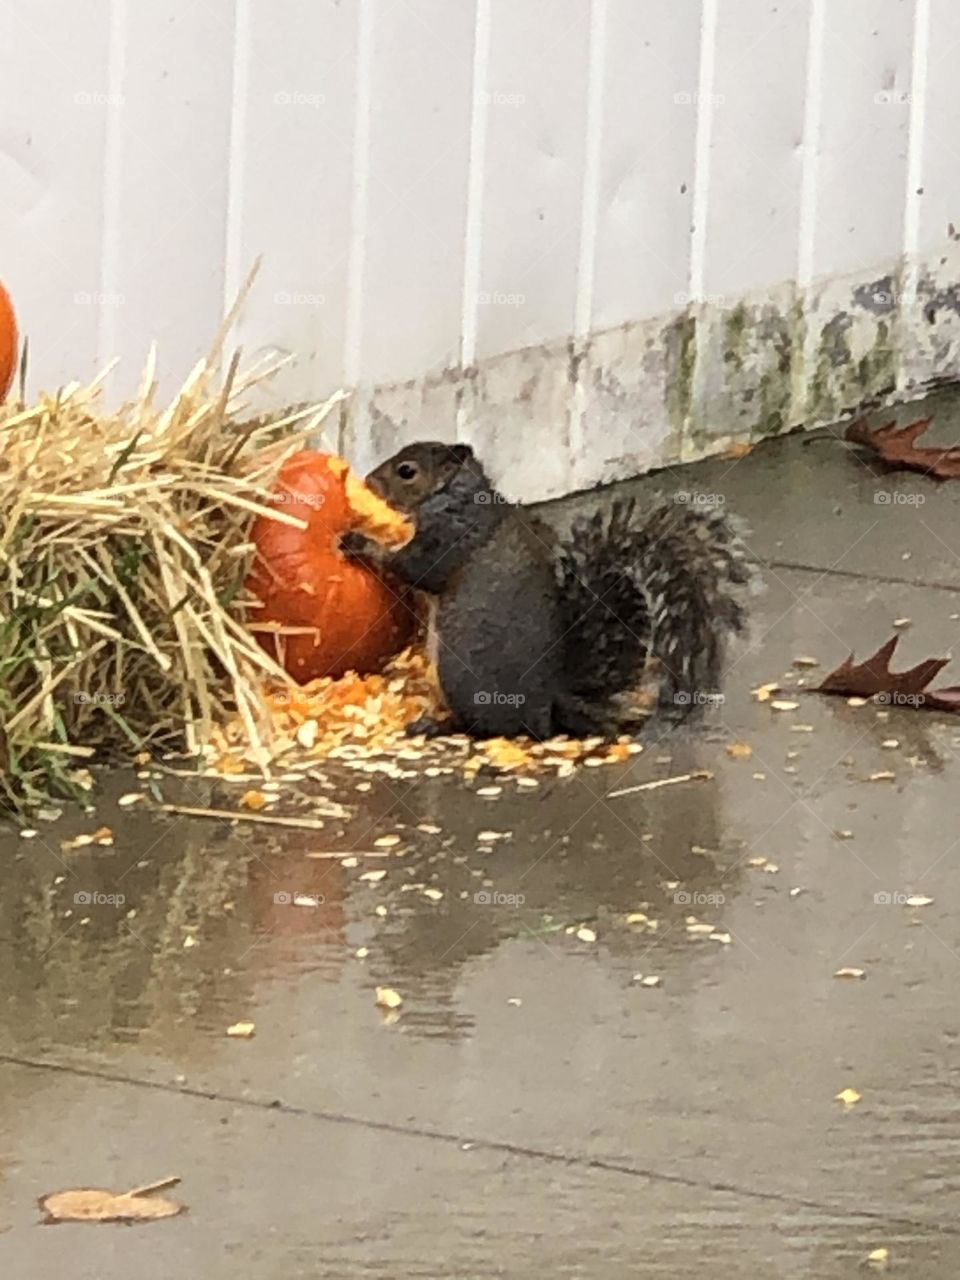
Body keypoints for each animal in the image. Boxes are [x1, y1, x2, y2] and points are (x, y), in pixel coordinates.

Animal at [340, 441, 749, 740]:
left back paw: (437, 724)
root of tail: (549, 703)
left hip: (460, 677)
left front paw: (361, 543)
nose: (368, 481)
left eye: (407, 471)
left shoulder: (449, 538)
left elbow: (416, 568)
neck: (458, 497)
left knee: (483, 728)